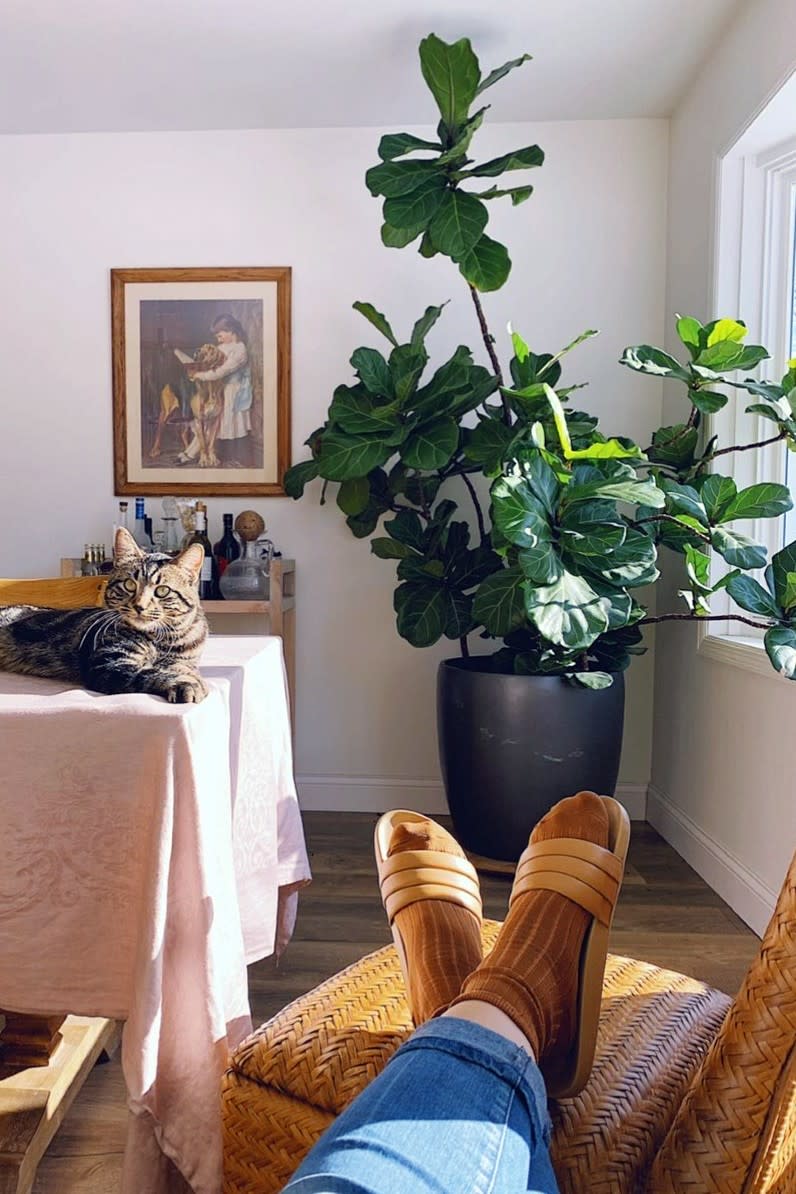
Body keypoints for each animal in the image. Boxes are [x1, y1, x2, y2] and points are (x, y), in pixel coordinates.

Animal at [0, 527, 208, 702]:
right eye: (129, 584)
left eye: (162, 591)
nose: (139, 606)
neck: (162, 639)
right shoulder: (110, 664)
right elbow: (148, 673)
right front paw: (183, 683)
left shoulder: (183, 660)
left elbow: (179, 667)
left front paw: (190, 676)